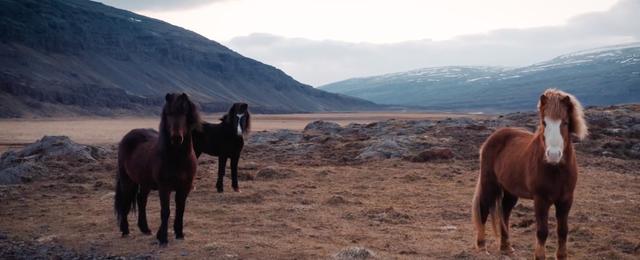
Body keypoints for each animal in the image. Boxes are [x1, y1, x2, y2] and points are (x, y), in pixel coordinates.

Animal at [115, 93, 200, 246]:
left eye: (184, 113)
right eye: (168, 114)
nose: (176, 138)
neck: (178, 159)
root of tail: (128, 136)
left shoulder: (184, 187)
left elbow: (180, 209)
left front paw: (179, 234)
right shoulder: (164, 187)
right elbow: (165, 211)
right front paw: (163, 239)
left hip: (145, 183)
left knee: (141, 200)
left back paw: (145, 229)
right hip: (127, 180)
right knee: (126, 201)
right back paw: (125, 230)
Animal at [472, 88, 588, 258]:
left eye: (565, 122)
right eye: (544, 122)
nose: (553, 155)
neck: (556, 170)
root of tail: (492, 138)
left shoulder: (566, 200)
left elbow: (563, 231)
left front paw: (561, 256)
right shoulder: (540, 200)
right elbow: (542, 231)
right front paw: (539, 256)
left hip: (510, 191)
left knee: (504, 213)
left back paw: (506, 247)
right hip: (489, 184)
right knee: (483, 209)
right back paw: (481, 247)